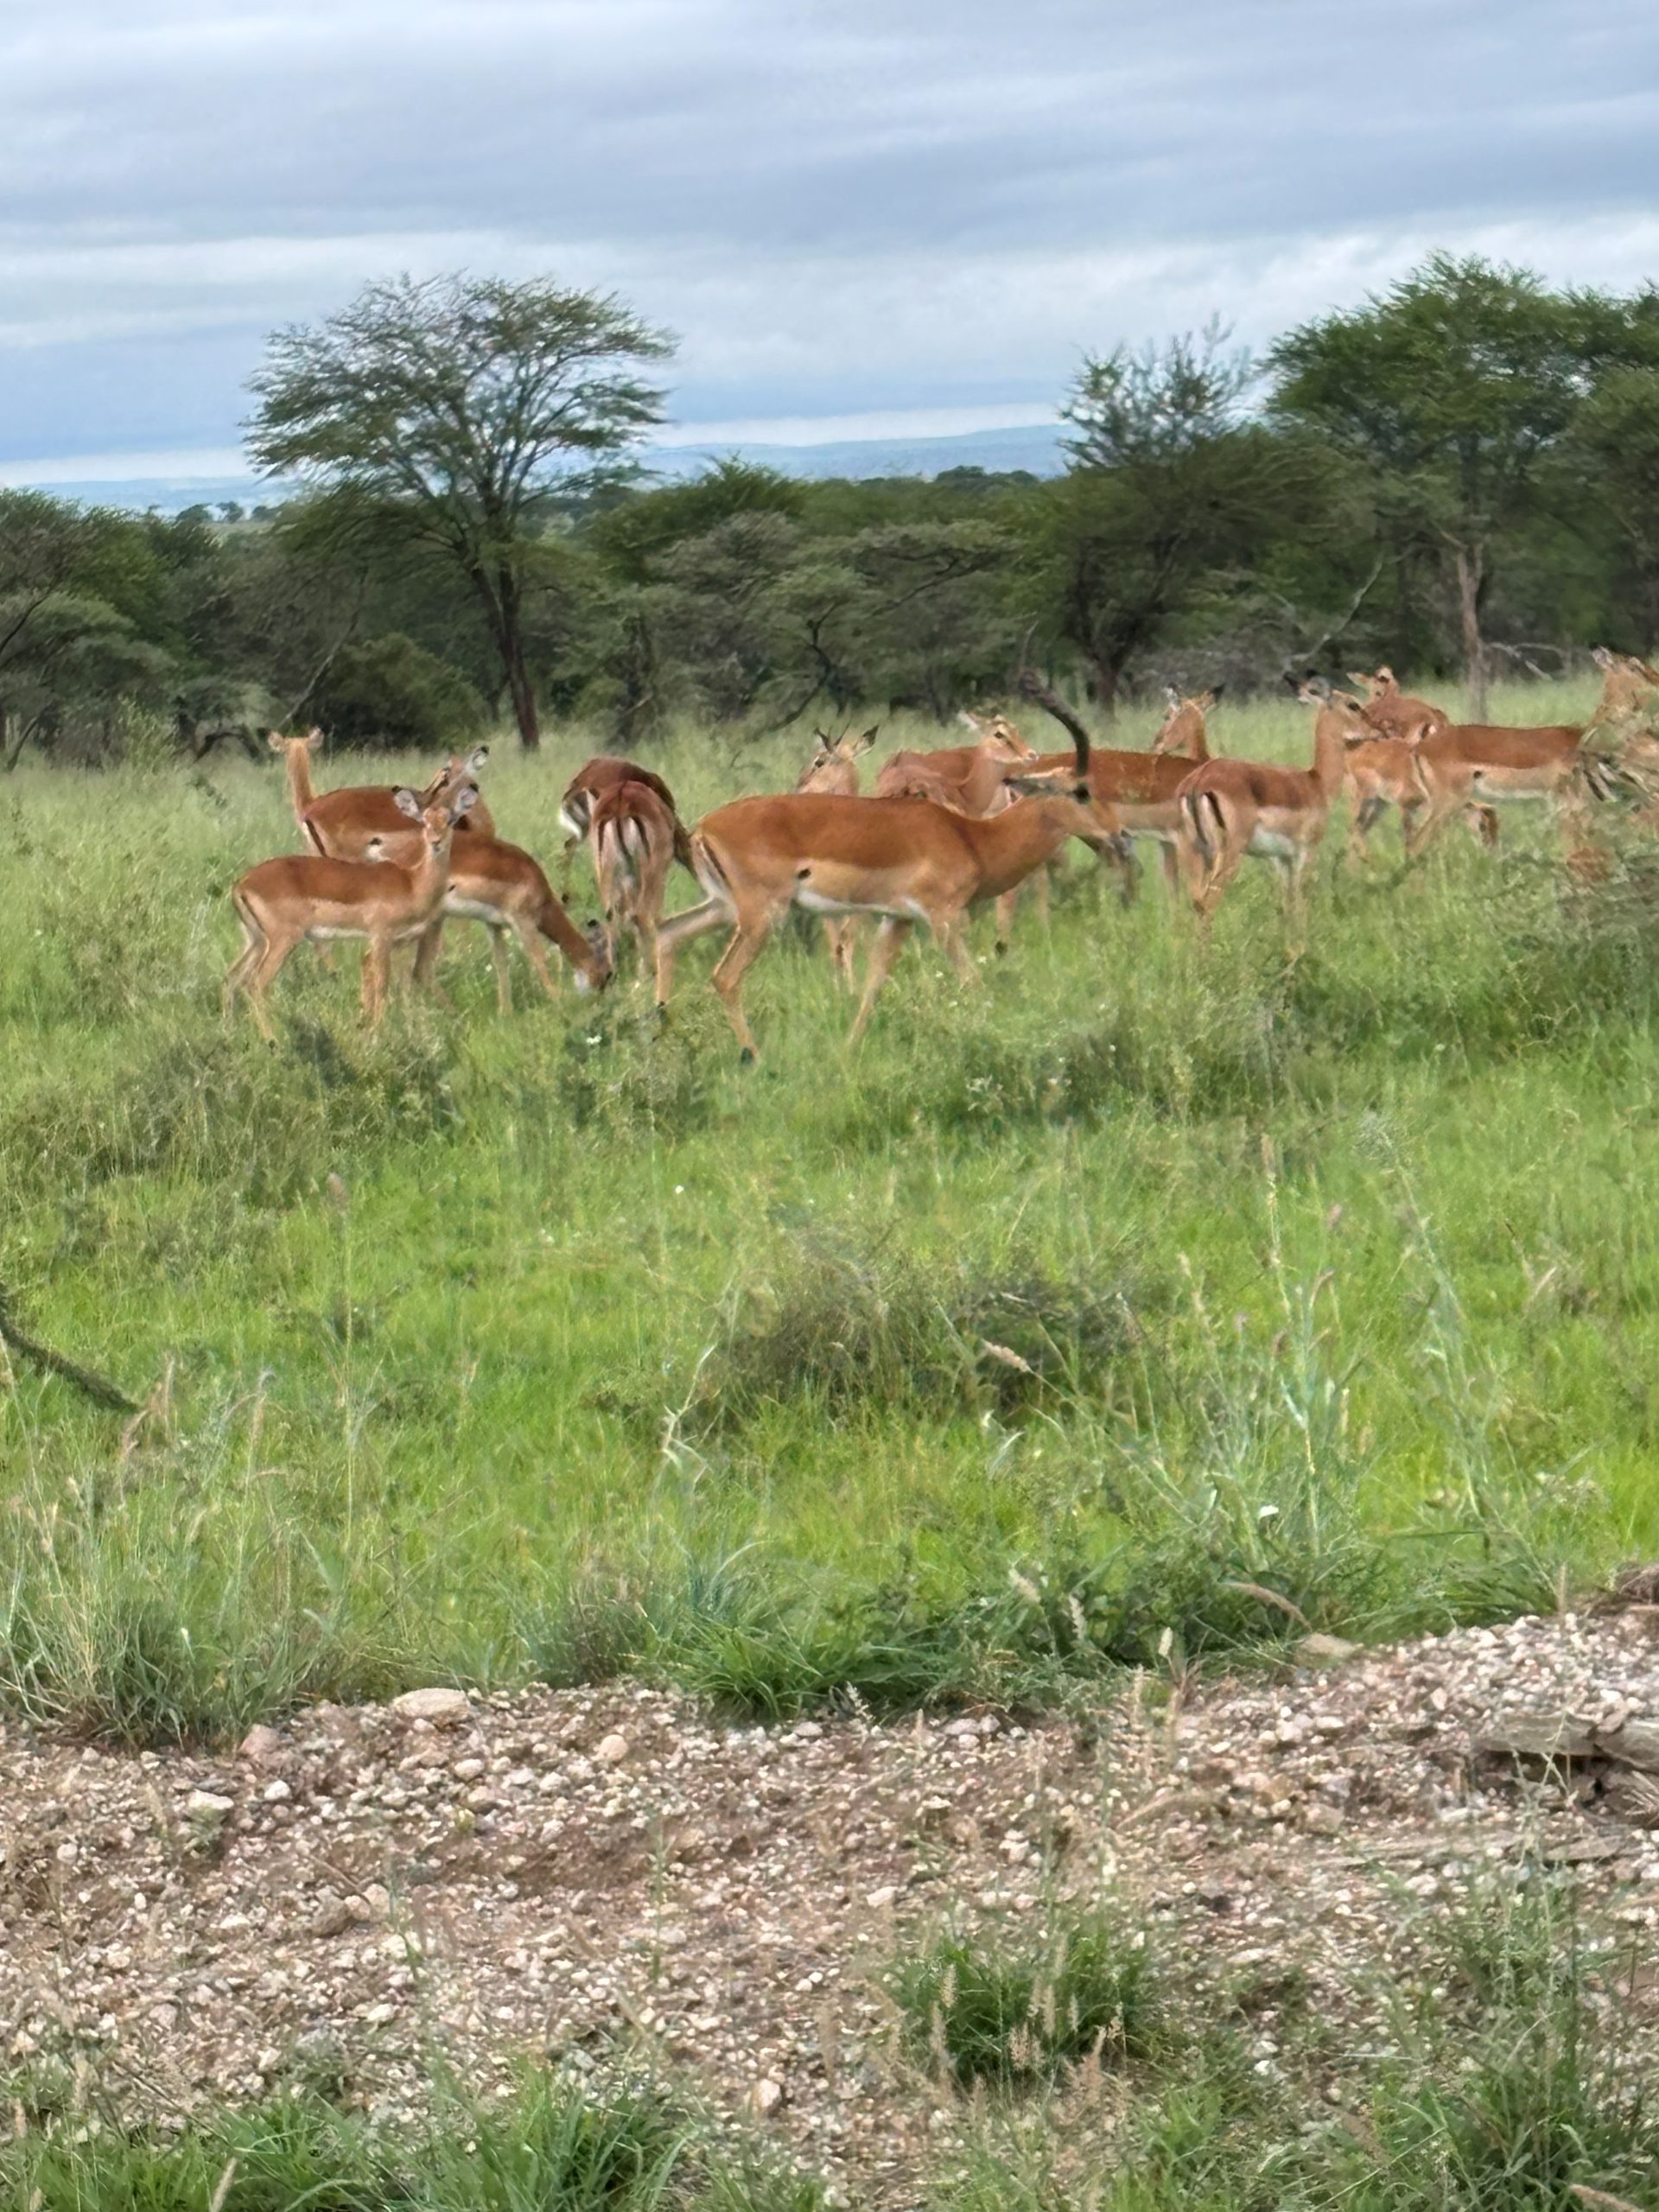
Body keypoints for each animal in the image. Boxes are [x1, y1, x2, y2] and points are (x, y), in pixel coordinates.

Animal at [226, 788, 475, 1042]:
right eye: (425, 820)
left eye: (450, 820)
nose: (436, 842)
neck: (412, 882)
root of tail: (241, 884)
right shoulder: (381, 936)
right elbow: (382, 985)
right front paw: (378, 1036)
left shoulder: (400, 942)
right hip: (282, 941)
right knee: (256, 984)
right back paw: (272, 1039)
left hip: (255, 940)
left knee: (232, 979)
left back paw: (230, 1031)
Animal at [587, 777, 681, 980]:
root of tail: (620, 802)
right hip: (649, 874)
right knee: (643, 915)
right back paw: (648, 972)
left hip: (607, 872)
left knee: (612, 915)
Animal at [653, 733, 1126, 1060]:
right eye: (1082, 791)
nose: (1120, 836)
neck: (971, 838)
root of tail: (702, 828)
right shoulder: (943, 917)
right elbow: (972, 981)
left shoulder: (897, 919)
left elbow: (872, 987)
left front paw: (848, 1051)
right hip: (761, 916)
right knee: (724, 977)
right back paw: (753, 1057)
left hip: (722, 908)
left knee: (668, 932)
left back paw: (664, 1035)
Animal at [1175, 684, 1353, 944]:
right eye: (1353, 704)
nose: (1378, 728)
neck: (1316, 782)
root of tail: (1198, 780)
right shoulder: (1305, 852)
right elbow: (1301, 896)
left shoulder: (1281, 857)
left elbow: (1287, 901)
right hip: (1228, 855)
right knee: (1208, 902)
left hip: (1195, 852)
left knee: (1196, 901)